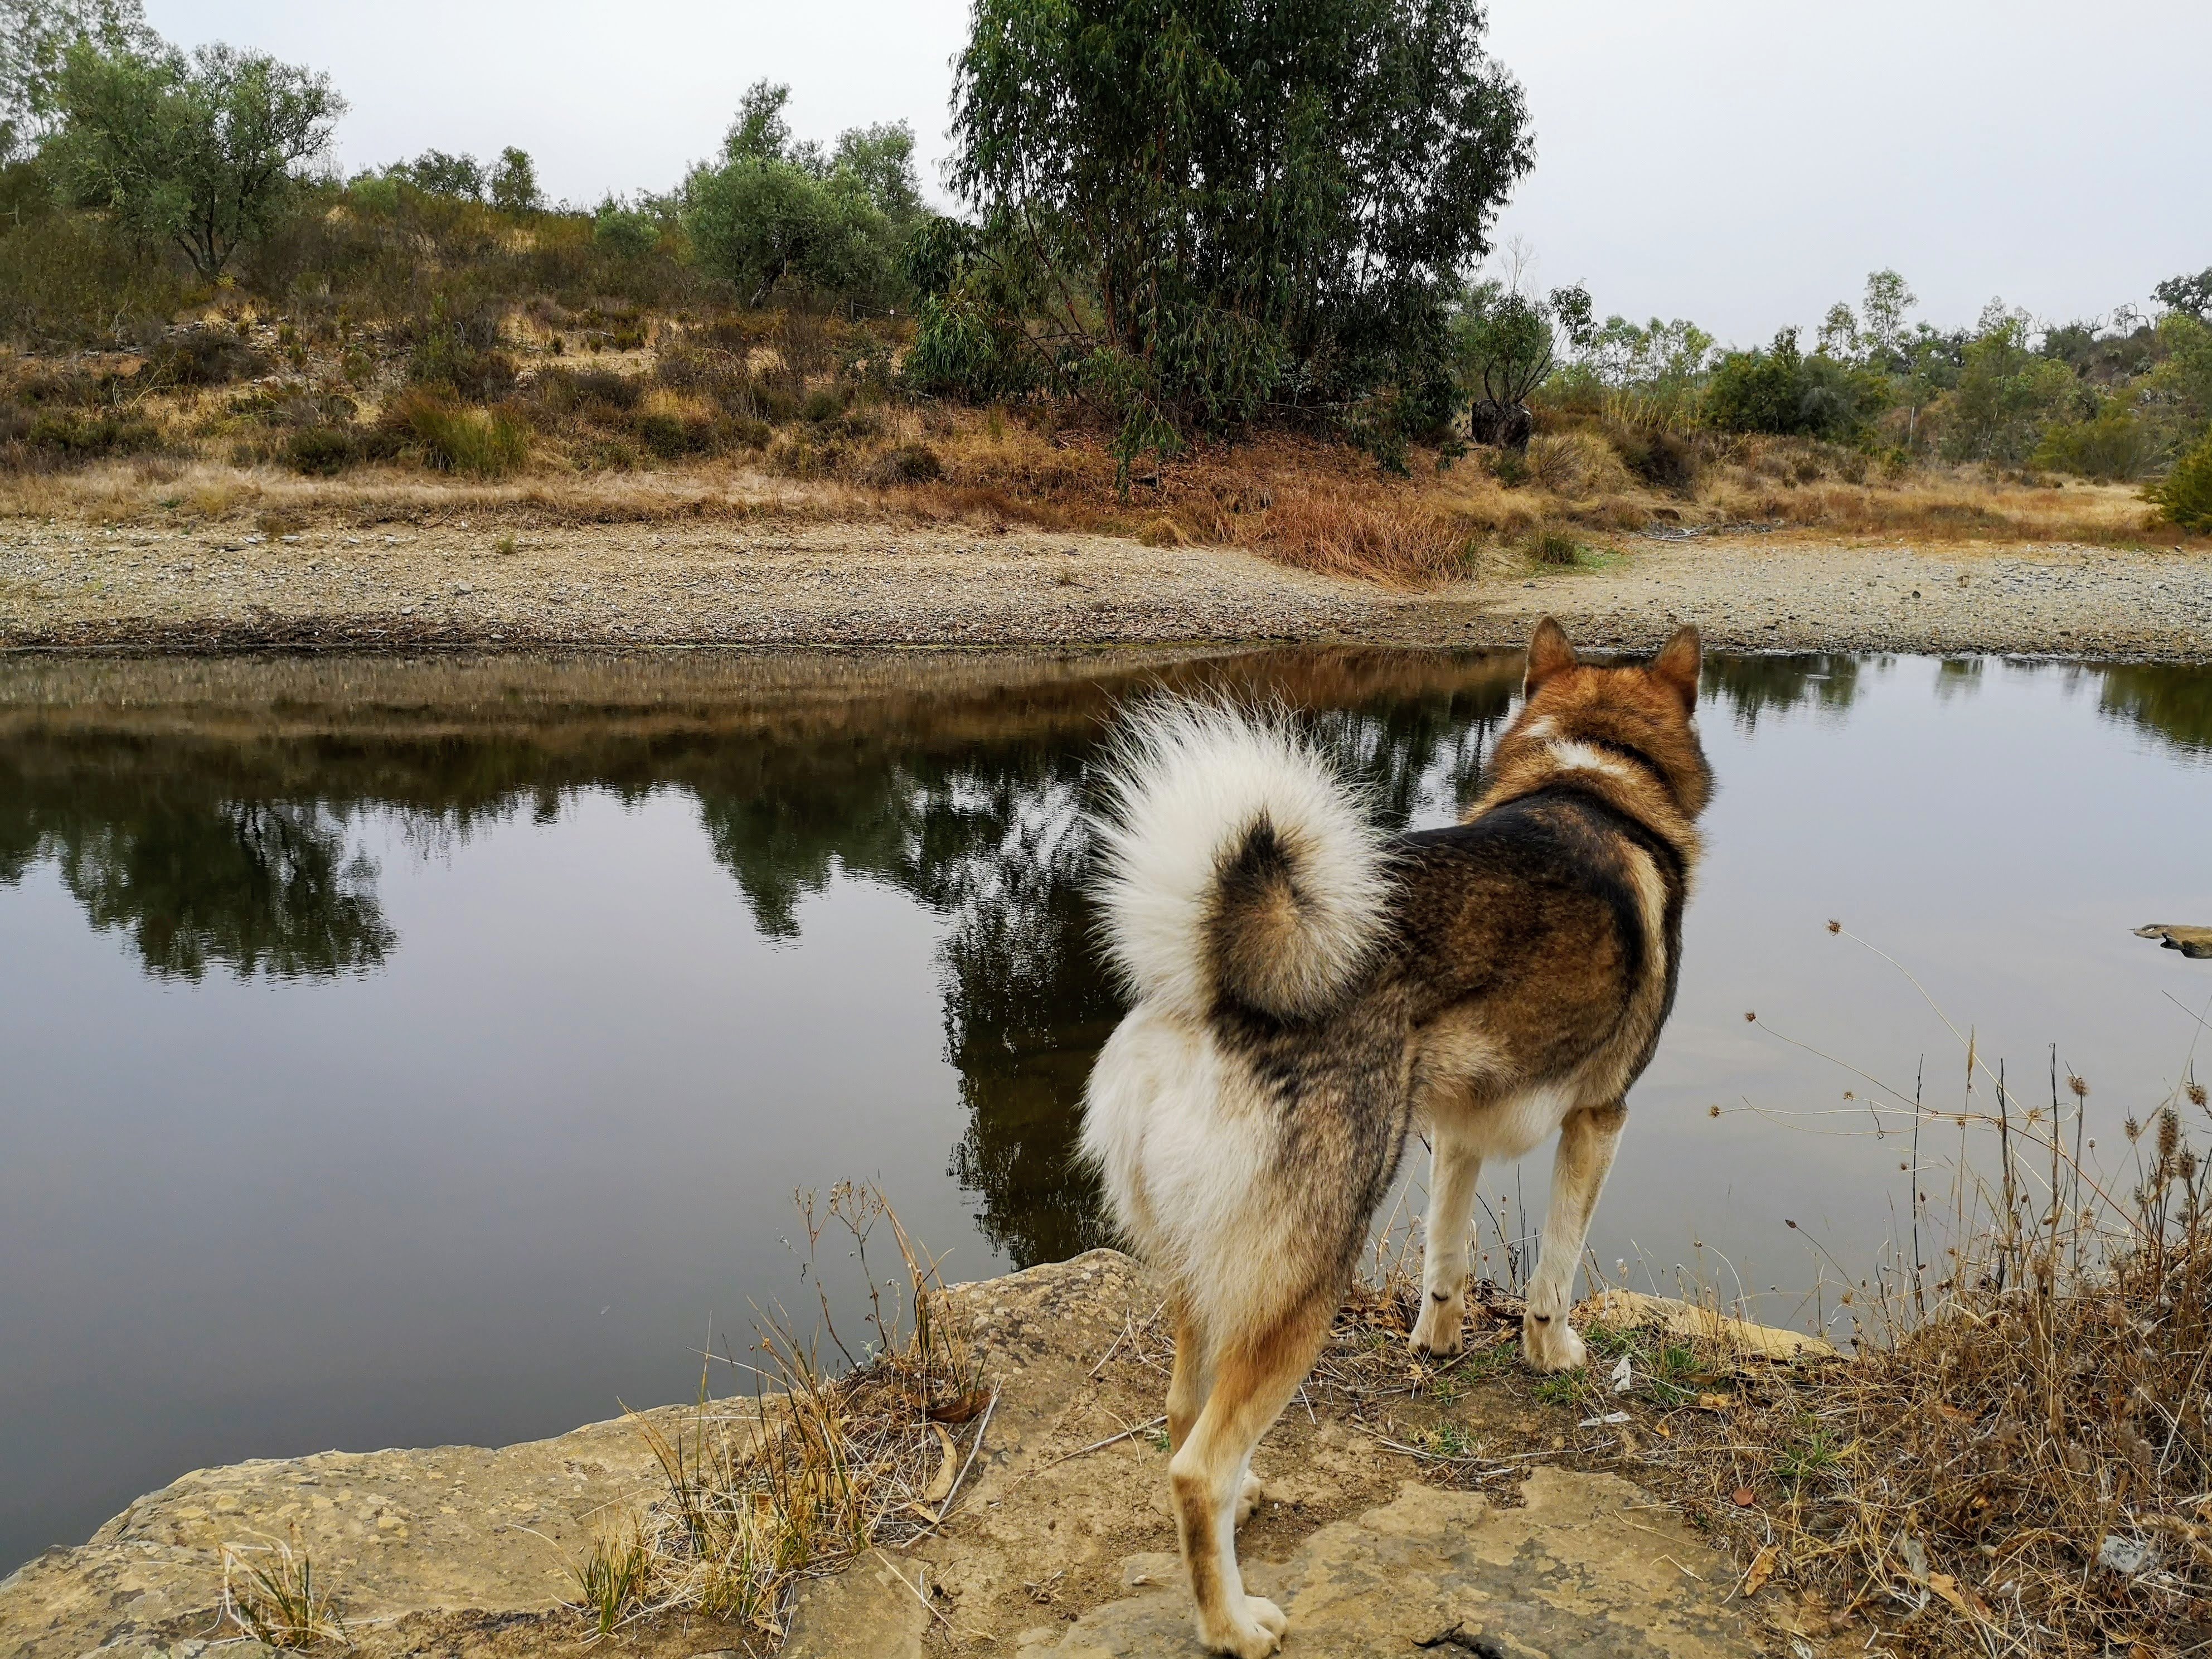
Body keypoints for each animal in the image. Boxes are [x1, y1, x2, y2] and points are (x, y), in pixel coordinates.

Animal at [1078, 618, 1711, 1657]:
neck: (1587, 777)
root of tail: (1211, 987)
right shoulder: (1598, 1120)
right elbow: (1556, 1269)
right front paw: (1550, 1353)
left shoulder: (1453, 1130)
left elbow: (1444, 1257)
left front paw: (1439, 1339)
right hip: (1305, 1279)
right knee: (1195, 1469)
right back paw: (1232, 1623)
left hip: (1208, 1271)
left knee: (1180, 1411)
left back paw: (1246, 1501)